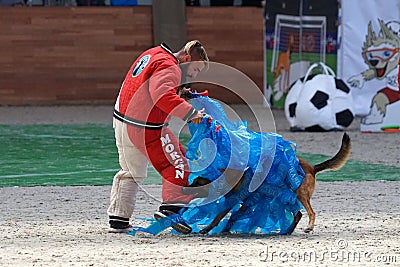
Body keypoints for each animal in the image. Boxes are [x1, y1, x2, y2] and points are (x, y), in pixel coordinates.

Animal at [183, 132, 352, 234]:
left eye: (196, 184)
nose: (184, 189)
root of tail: (312, 168)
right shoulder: (243, 202)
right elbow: (231, 216)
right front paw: (224, 228)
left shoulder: (240, 201)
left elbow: (220, 217)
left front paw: (209, 229)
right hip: (288, 198)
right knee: (298, 214)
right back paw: (287, 231)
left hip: (300, 194)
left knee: (311, 212)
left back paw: (309, 227)